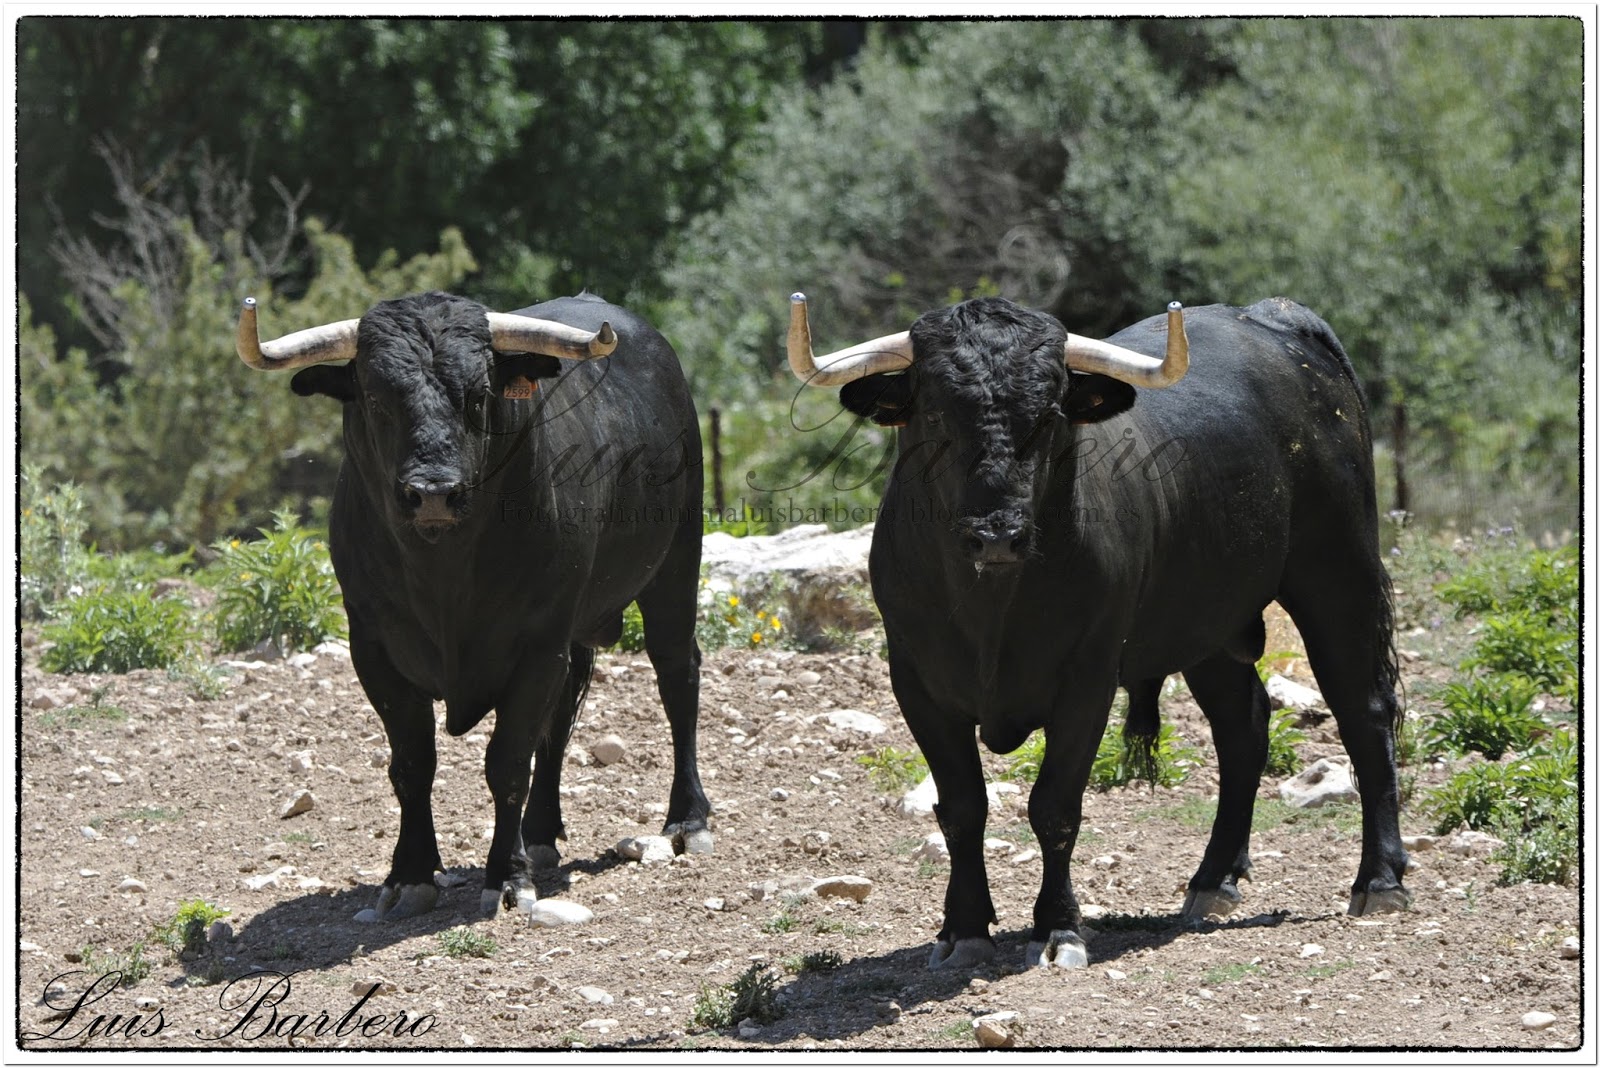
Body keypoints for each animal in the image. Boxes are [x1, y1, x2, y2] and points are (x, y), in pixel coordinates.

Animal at [236, 290, 711, 921]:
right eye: (376, 397)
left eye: (480, 396)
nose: (434, 493)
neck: (444, 576)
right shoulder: (374, 649)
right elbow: (413, 764)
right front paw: (410, 874)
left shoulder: (537, 646)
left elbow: (507, 763)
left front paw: (507, 877)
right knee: (561, 719)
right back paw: (541, 834)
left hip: (675, 566)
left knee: (677, 680)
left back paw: (687, 820)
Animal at [783, 291, 1410, 970]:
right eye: (935, 411)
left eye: (1050, 412)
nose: (997, 536)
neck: (992, 610)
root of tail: (1273, 316)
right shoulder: (918, 683)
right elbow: (962, 808)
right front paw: (963, 929)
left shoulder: (1087, 680)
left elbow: (1054, 807)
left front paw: (1058, 929)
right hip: (1207, 622)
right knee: (1242, 726)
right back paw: (1212, 881)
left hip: (1338, 574)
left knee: (1364, 712)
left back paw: (1379, 881)